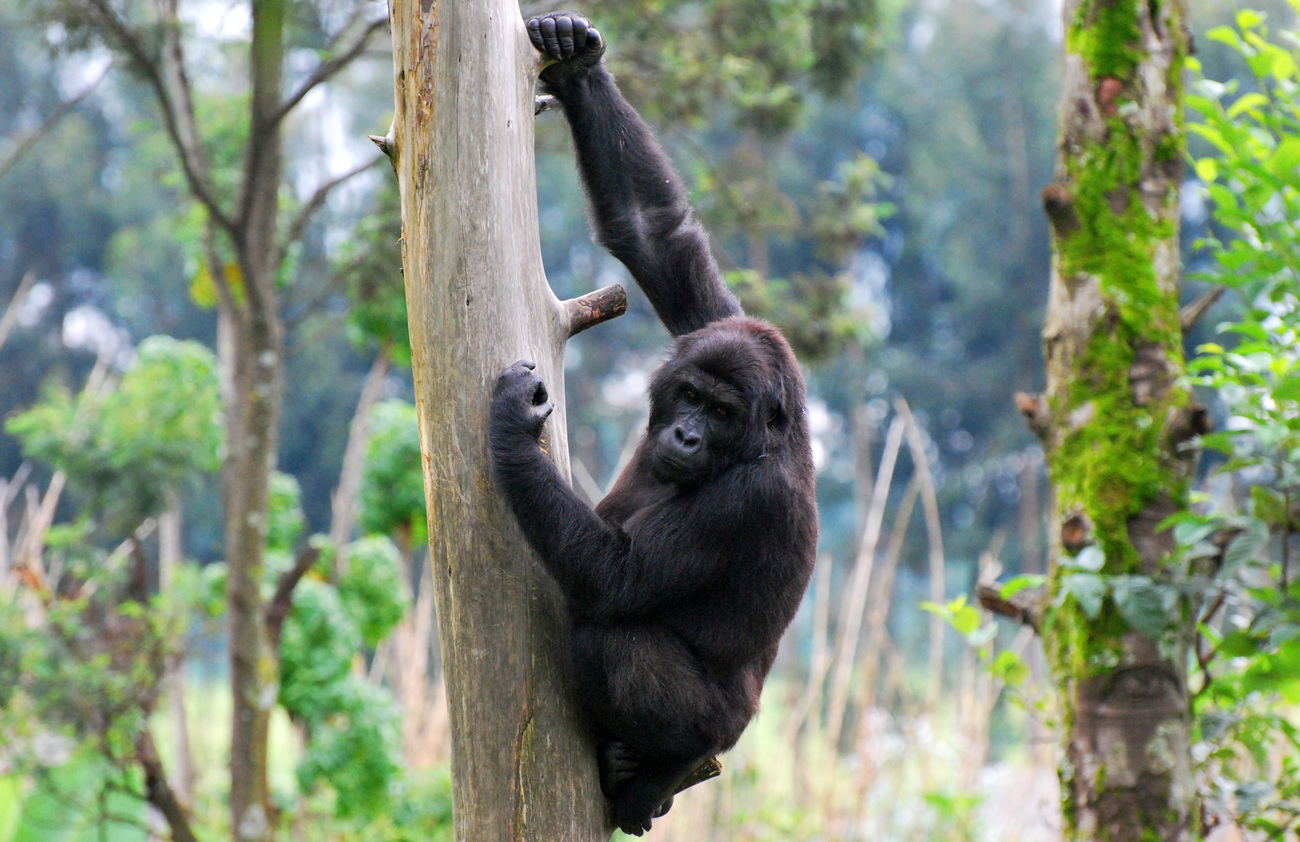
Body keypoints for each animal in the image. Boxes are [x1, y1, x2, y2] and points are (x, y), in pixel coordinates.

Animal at [491, 11, 816, 836]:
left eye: (723, 413)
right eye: (692, 395)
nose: (687, 435)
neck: (764, 437)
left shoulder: (749, 498)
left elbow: (618, 575)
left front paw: (510, 430)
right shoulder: (719, 326)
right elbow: (654, 233)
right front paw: (576, 61)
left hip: (727, 727)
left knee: (613, 639)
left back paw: (662, 768)